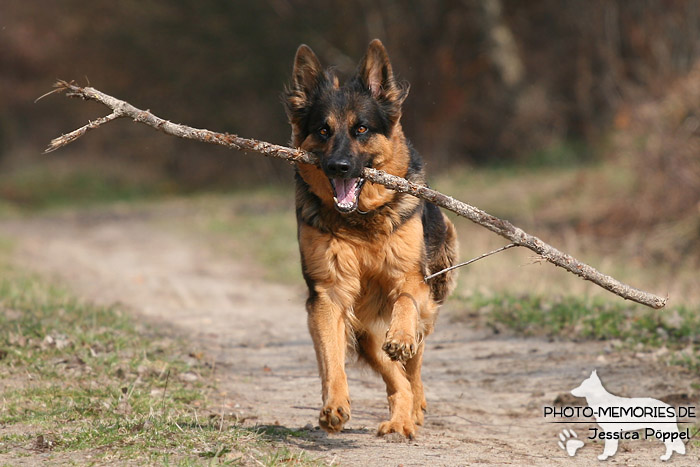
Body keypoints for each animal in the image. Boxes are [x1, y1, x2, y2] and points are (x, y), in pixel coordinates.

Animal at [284, 39, 460, 438]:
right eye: (323, 131)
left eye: (361, 129)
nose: (338, 167)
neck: (361, 221)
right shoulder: (328, 296)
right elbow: (331, 358)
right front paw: (333, 405)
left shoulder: (411, 279)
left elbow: (405, 306)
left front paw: (402, 337)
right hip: (366, 335)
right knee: (397, 381)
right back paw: (401, 418)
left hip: (429, 297)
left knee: (413, 365)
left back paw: (414, 404)